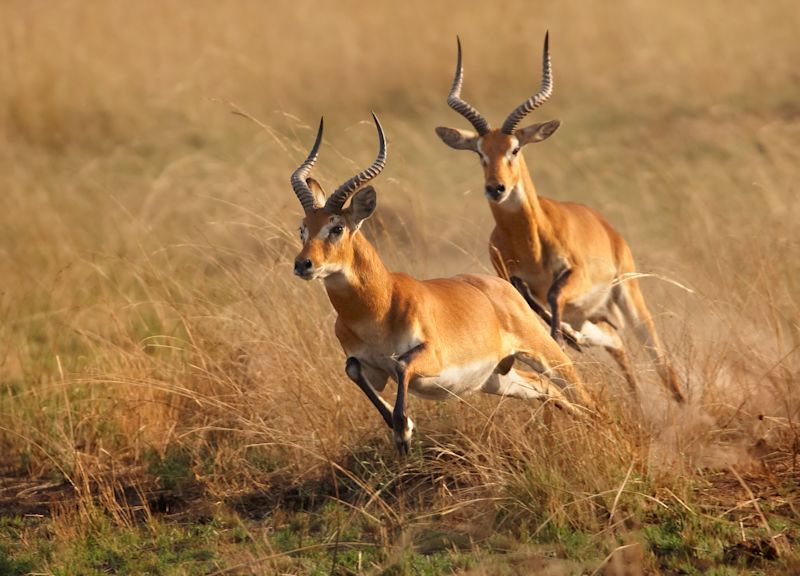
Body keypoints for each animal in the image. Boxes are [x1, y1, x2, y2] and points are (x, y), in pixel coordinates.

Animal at [290, 113, 596, 454]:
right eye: (303, 228)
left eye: (337, 227)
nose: (303, 264)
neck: (378, 308)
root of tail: (499, 286)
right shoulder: (370, 369)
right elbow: (352, 369)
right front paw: (402, 425)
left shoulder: (430, 358)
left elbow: (402, 364)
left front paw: (404, 431)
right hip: (495, 379)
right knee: (545, 389)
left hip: (544, 352)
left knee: (585, 396)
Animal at [434, 33, 684, 402]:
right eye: (480, 152)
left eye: (514, 148)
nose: (496, 188)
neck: (529, 242)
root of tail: (605, 225)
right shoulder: (512, 282)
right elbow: (539, 304)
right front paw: (565, 340)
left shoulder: (572, 276)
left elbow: (553, 297)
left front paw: (562, 340)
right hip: (590, 315)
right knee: (615, 340)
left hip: (628, 297)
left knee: (659, 360)